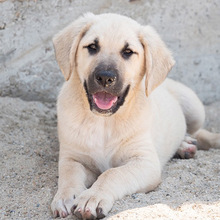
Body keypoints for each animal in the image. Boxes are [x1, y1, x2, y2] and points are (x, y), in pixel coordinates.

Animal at [50, 12, 220, 219]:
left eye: (128, 52)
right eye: (92, 47)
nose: (105, 77)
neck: (103, 122)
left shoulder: (145, 162)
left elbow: (112, 174)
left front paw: (93, 197)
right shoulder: (73, 157)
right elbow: (69, 173)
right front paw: (65, 196)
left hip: (195, 108)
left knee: (198, 132)